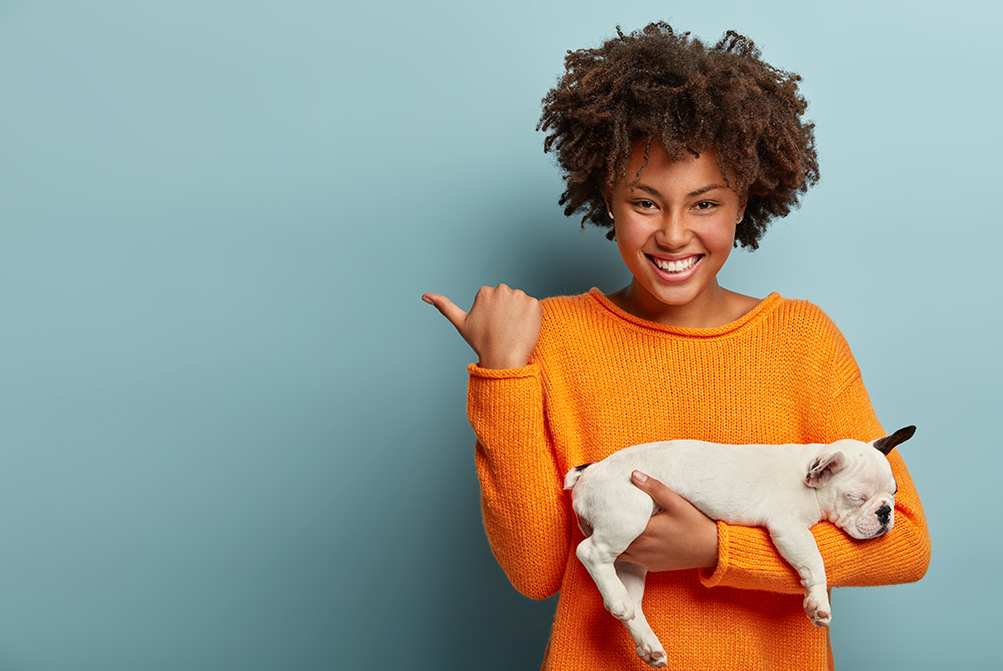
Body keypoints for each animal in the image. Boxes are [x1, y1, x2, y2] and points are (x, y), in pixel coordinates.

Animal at [565, 427, 918, 665]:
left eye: (894, 493)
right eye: (855, 498)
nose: (885, 512)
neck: (811, 478)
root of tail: (590, 472)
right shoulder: (790, 528)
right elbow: (814, 562)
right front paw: (818, 603)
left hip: (632, 561)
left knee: (631, 605)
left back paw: (645, 640)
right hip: (629, 515)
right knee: (590, 552)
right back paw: (617, 599)